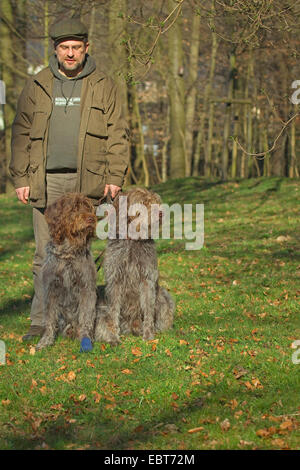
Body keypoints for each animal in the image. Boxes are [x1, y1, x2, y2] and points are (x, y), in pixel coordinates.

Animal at [35, 193, 97, 350]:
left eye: (88, 207)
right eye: (74, 208)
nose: (91, 218)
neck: (68, 253)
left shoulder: (86, 287)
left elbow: (86, 316)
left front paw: (86, 339)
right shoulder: (51, 288)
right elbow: (50, 318)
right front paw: (46, 340)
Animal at [95, 187, 176, 346]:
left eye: (156, 201)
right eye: (143, 202)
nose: (161, 213)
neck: (133, 240)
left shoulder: (147, 280)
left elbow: (148, 308)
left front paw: (149, 334)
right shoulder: (115, 281)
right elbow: (113, 311)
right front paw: (113, 336)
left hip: (163, 296)